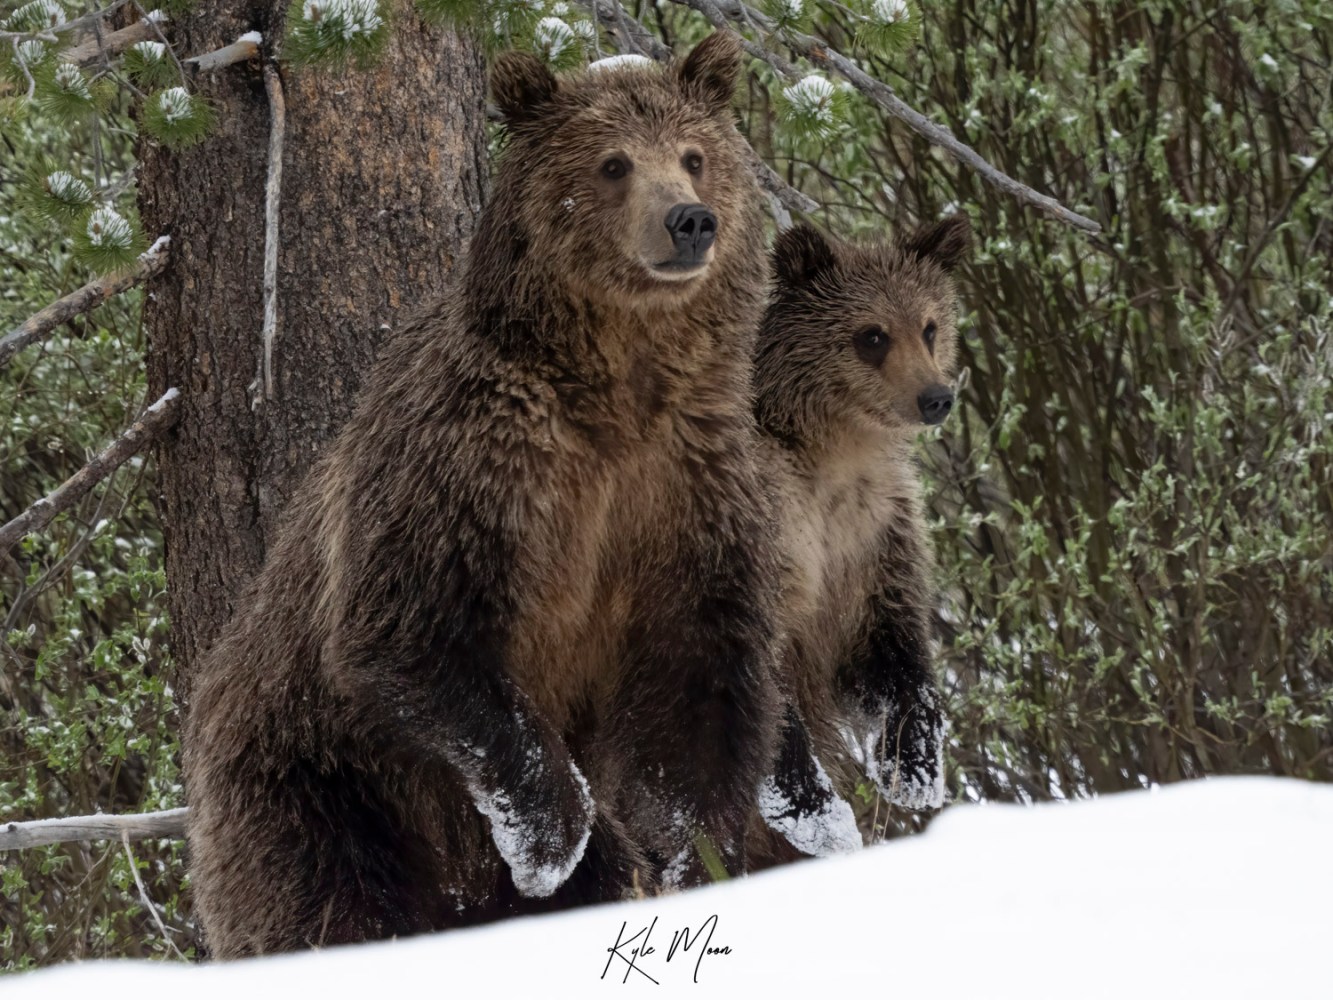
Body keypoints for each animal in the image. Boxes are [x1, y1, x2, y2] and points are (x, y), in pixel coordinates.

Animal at [183, 31, 778, 960]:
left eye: (694, 155)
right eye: (612, 163)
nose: (689, 220)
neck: (615, 392)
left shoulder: (688, 487)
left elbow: (696, 682)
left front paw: (687, 853)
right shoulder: (471, 468)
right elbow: (417, 639)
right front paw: (561, 841)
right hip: (316, 782)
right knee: (320, 901)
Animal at [746, 221, 975, 869]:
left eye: (929, 325)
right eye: (872, 334)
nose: (936, 397)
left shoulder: (874, 537)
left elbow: (891, 652)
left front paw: (915, 766)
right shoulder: (770, 537)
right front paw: (820, 818)